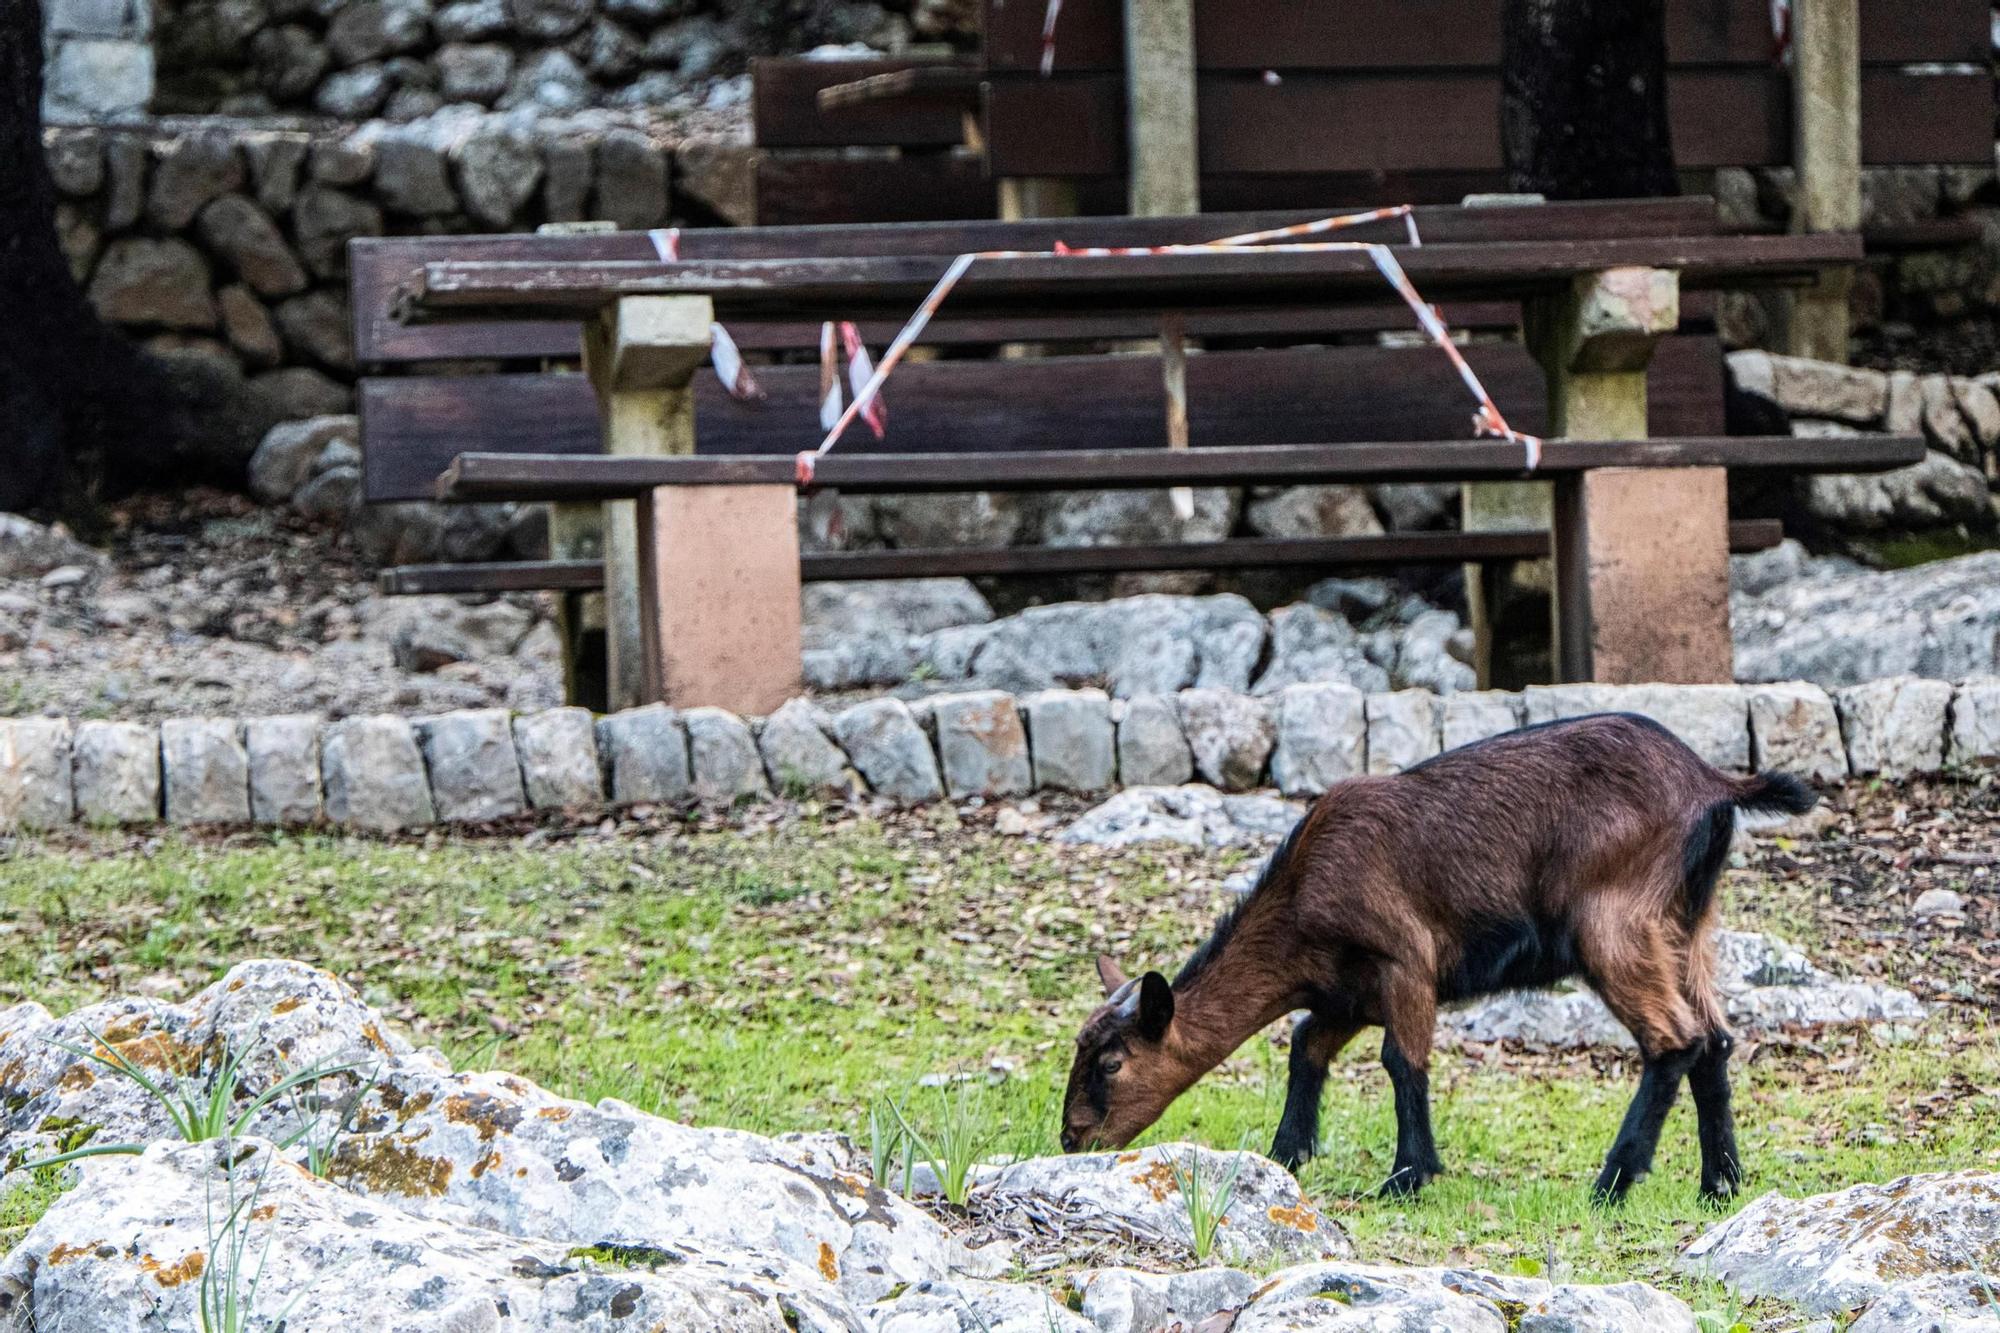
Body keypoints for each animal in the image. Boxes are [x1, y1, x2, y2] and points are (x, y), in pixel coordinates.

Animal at [1072, 712, 1824, 1200]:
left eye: (1112, 1062)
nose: (1074, 1140)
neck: (1303, 896)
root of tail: (1714, 784)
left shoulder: (1405, 962)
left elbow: (1402, 1063)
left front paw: (1407, 1177)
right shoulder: (1348, 993)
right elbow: (1307, 1047)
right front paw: (1287, 1154)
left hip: (1614, 924)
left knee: (1675, 1039)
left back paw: (1612, 1183)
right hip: (1686, 926)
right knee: (1715, 1040)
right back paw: (1719, 1185)